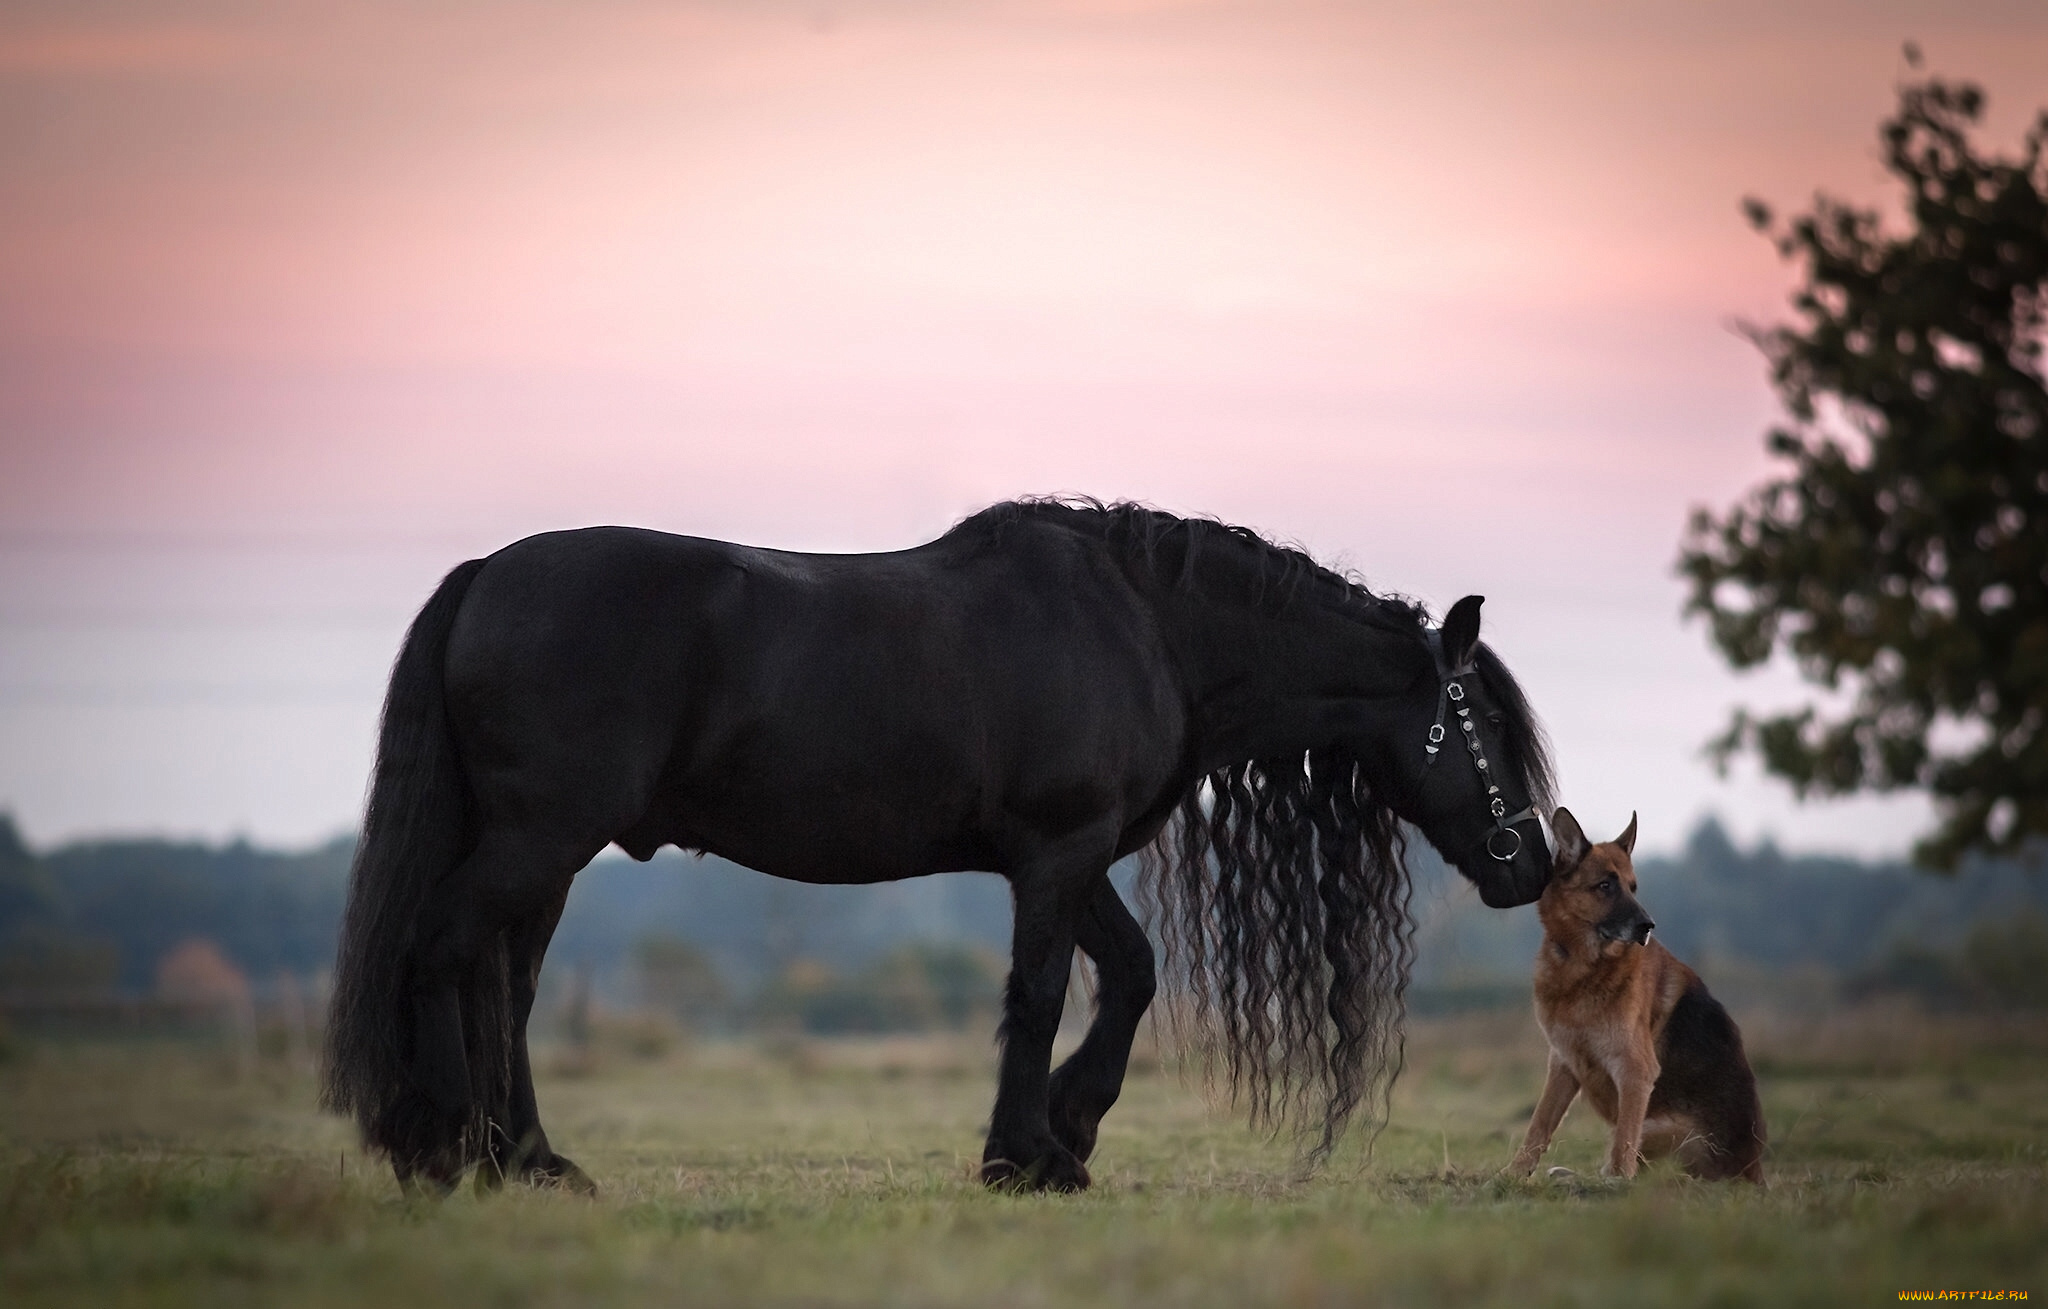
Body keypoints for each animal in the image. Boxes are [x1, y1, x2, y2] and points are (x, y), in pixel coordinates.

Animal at [323, 495, 1548, 1196]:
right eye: (1481, 720)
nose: (1531, 858)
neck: (1146, 623)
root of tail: (485, 575)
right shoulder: (1057, 849)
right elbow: (1040, 993)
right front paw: (1024, 1158)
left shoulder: (1069, 855)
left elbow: (1129, 974)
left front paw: (1068, 1128)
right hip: (542, 838)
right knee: (446, 953)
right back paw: (442, 1150)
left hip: (542, 851)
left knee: (506, 985)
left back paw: (527, 1161)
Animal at [1499, 811, 1769, 1188]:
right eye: (1605, 886)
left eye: (1633, 886)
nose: (1647, 926)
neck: (1583, 969)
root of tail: (1750, 1173)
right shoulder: (1563, 1064)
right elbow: (1539, 1125)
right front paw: (1513, 1173)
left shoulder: (1634, 1071)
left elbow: (1623, 1144)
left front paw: (1616, 1183)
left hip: (1658, 1126)